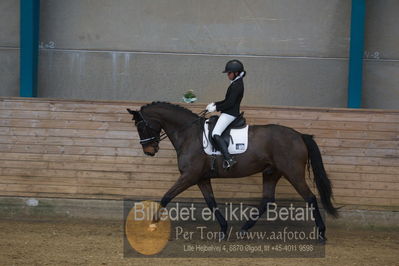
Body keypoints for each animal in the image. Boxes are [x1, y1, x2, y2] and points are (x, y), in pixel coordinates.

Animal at [127, 101, 338, 241]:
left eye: (141, 126)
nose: (149, 151)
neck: (189, 134)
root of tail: (300, 135)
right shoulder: (201, 178)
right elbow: (211, 203)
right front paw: (223, 229)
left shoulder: (189, 176)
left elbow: (166, 197)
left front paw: (153, 224)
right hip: (271, 172)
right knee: (267, 201)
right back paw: (243, 229)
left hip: (292, 173)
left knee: (310, 198)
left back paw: (321, 233)